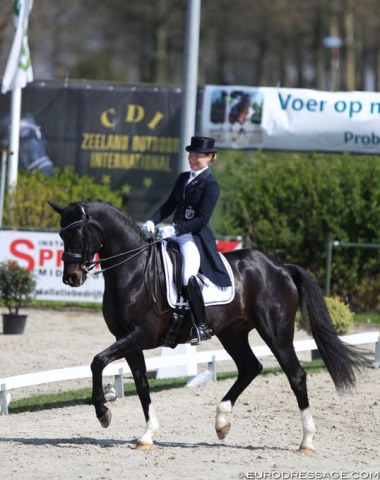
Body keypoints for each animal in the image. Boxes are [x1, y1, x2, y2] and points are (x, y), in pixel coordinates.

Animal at [49, 201, 364, 452]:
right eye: (61, 234)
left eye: (77, 233)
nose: (71, 278)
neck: (134, 271)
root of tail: (281, 267)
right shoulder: (127, 340)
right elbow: (140, 384)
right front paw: (147, 435)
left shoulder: (139, 336)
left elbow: (98, 360)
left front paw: (103, 412)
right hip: (233, 333)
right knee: (250, 367)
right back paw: (222, 422)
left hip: (276, 333)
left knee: (295, 375)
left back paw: (307, 441)